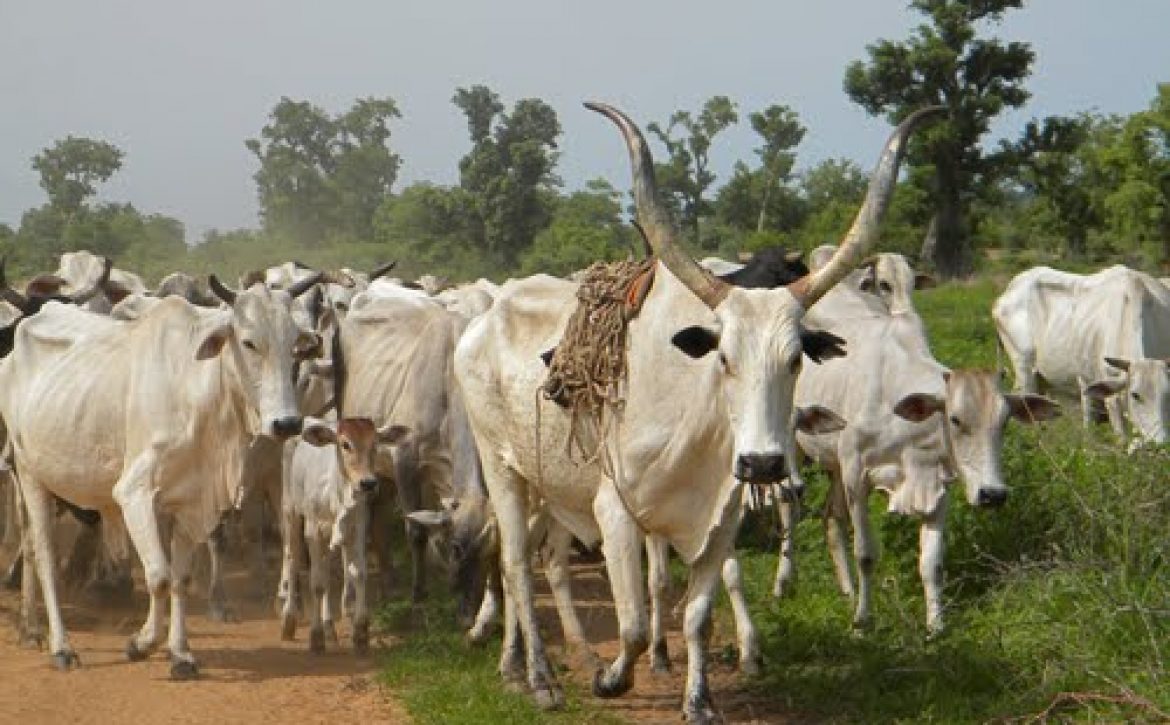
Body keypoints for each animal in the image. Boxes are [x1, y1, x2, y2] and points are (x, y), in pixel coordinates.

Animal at [0, 270, 320, 673]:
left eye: (294, 344)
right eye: (249, 342)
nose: (287, 424)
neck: (196, 390)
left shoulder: (191, 502)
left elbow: (180, 578)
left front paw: (180, 653)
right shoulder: (134, 494)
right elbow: (159, 577)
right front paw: (141, 643)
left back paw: (35, 628)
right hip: (29, 475)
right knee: (42, 556)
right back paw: (60, 645)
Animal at [280, 416, 409, 654]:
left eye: (375, 443)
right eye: (345, 444)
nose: (368, 483)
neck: (337, 495)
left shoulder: (357, 529)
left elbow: (358, 574)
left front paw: (360, 633)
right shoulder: (313, 531)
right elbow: (317, 583)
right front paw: (316, 637)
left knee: (328, 572)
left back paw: (330, 627)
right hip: (290, 511)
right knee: (292, 559)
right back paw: (289, 619)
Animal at [449, 103, 940, 720]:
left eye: (796, 358)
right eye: (723, 357)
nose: (763, 465)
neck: (695, 426)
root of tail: (483, 320)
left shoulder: (720, 518)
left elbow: (699, 616)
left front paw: (698, 700)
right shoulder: (614, 512)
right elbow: (635, 625)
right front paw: (612, 679)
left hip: (549, 483)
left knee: (532, 562)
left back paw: (517, 664)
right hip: (501, 466)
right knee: (515, 562)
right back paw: (540, 677)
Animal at [786, 274, 1062, 631]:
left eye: (1004, 422)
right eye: (955, 419)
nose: (993, 494)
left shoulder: (938, 485)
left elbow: (932, 564)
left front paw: (936, 626)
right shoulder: (856, 476)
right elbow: (866, 554)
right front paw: (863, 621)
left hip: (833, 465)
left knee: (831, 518)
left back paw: (847, 591)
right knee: (789, 508)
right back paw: (784, 585)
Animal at [992, 266, 1170, 446]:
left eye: (1168, 394)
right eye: (1135, 395)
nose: (1160, 443)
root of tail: (1012, 286)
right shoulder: (1105, 393)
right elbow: (1119, 438)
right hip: (1024, 370)